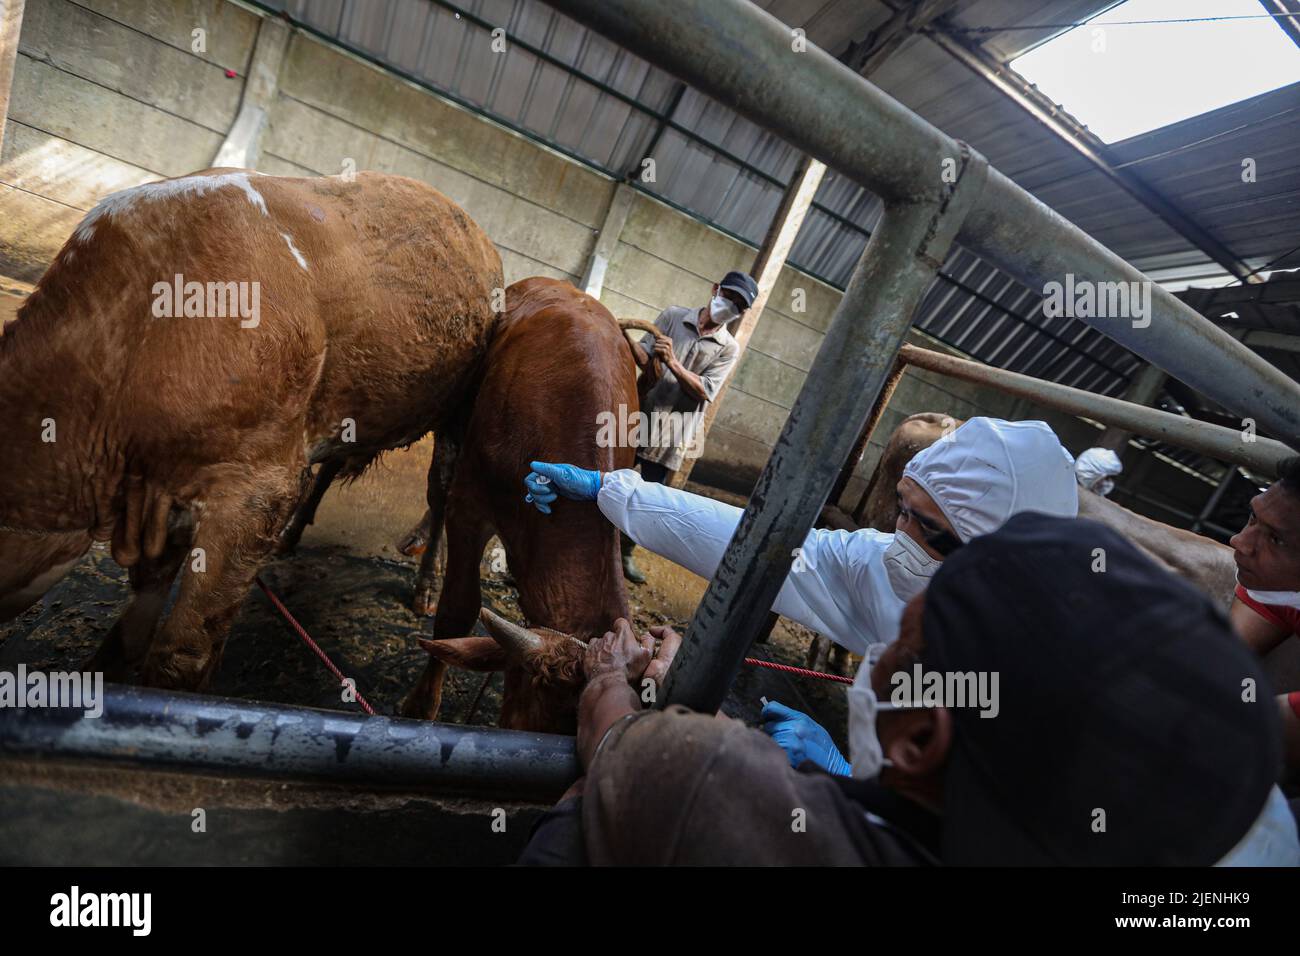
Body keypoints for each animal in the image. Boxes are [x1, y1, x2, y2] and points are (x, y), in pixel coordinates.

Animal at [400, 277, 634, 733]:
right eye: (519, 725)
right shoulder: (469, 506)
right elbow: (457, 610)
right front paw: (421, 705)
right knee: (438, 492)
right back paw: (425, 579)